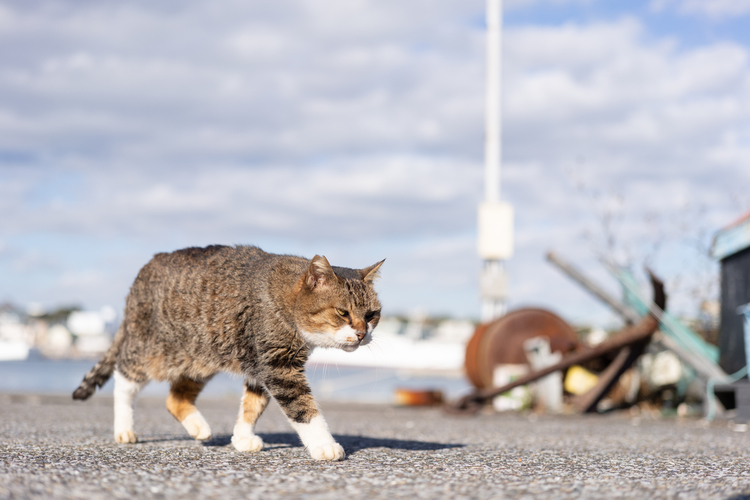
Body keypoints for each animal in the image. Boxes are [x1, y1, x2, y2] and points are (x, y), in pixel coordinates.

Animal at [73, 246, 384, 460]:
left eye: (371, 315)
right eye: (342, 313)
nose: (361, 334)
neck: (286, 300)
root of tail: (142, 272)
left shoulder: (261, 367)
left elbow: (252, 405)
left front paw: (242, 437)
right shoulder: (278, 367)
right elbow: (303, 409)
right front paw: (324, 444)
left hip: (202, 358)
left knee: (175, 398)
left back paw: (199, 428)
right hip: (151, 350)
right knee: (124, 379)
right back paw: (123, 429)